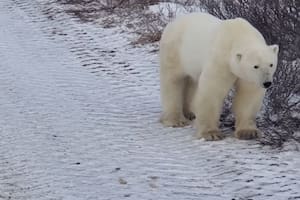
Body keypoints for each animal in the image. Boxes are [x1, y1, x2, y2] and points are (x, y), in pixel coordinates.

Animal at [159, 12, 278, 141]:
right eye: (255, 66)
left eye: (271, 64)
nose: (267, 83)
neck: (239, 34)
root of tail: (173, 22)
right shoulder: (221, 60)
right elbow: (212, 92)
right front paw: (211, 133)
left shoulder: (249, 77)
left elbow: (248, 94)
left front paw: (248, 132)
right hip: (175, 51)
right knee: (173, 81)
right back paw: (175, 120)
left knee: (191, 82)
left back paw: (190, 113)